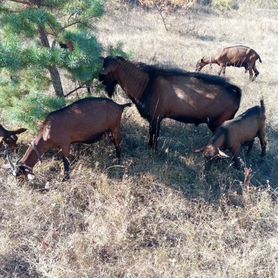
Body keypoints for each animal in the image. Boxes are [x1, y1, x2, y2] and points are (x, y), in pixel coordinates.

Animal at [99, 56, 241, 150]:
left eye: (107, 70)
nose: (100, 78)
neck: (146, 83)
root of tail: (236, 92)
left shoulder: (156, 117)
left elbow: (154, 133)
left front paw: (153, 149)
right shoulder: (154, 118)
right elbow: (152, 133)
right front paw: (150, 146)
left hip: (217, 123)